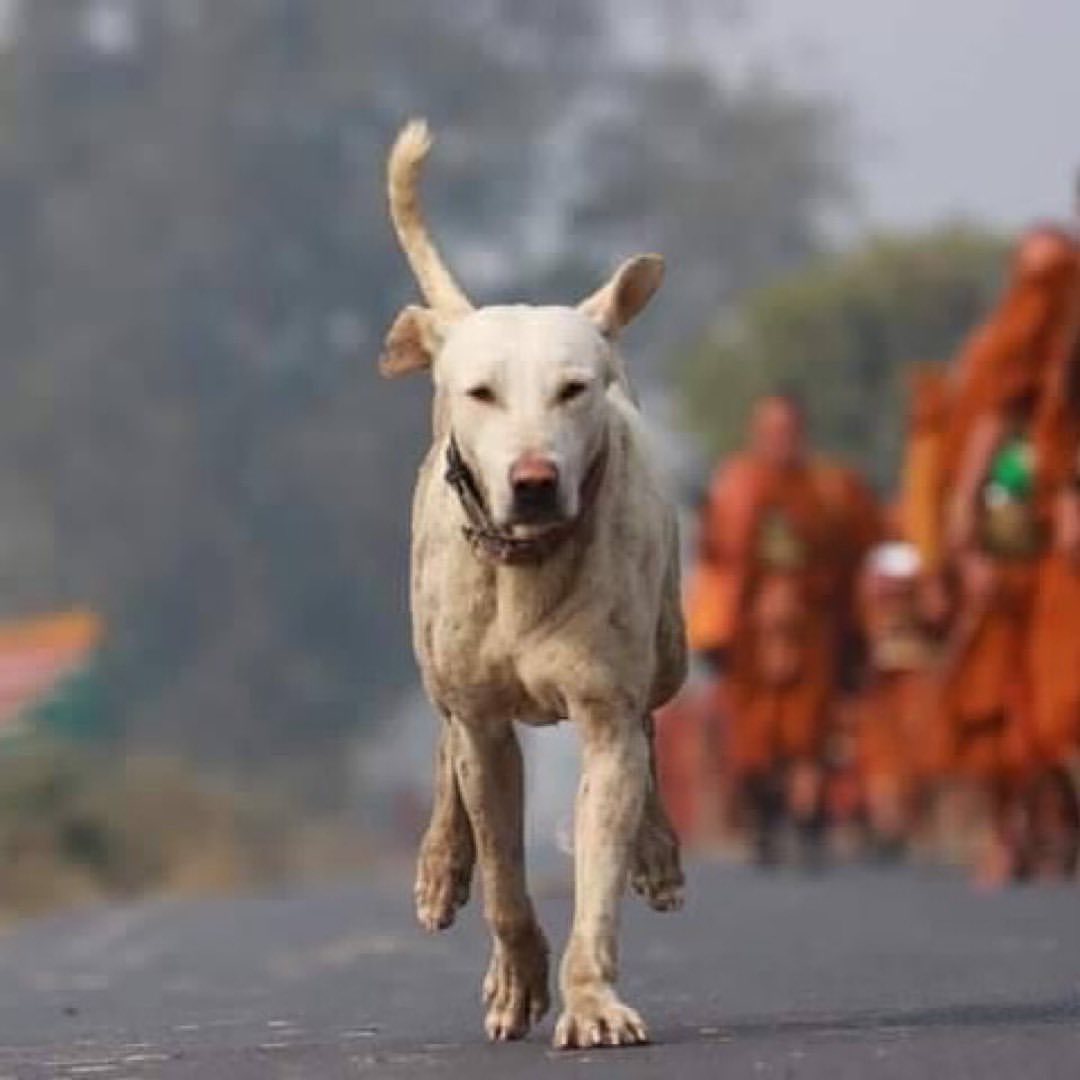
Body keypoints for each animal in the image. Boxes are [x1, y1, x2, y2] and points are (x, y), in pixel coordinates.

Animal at [380, 120, 682, 1054]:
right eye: (481, 392)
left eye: (573, 388)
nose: (536, 480)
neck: (526, 565)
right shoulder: (480, 721)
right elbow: (505, 874)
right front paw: (515, 979)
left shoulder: (607, 708)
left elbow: (603, 844)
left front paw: (592, 1001)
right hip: (433, 658)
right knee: (444, 745)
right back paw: (441, 867)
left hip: (671, 651)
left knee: (654, 723)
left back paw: (658, 851)